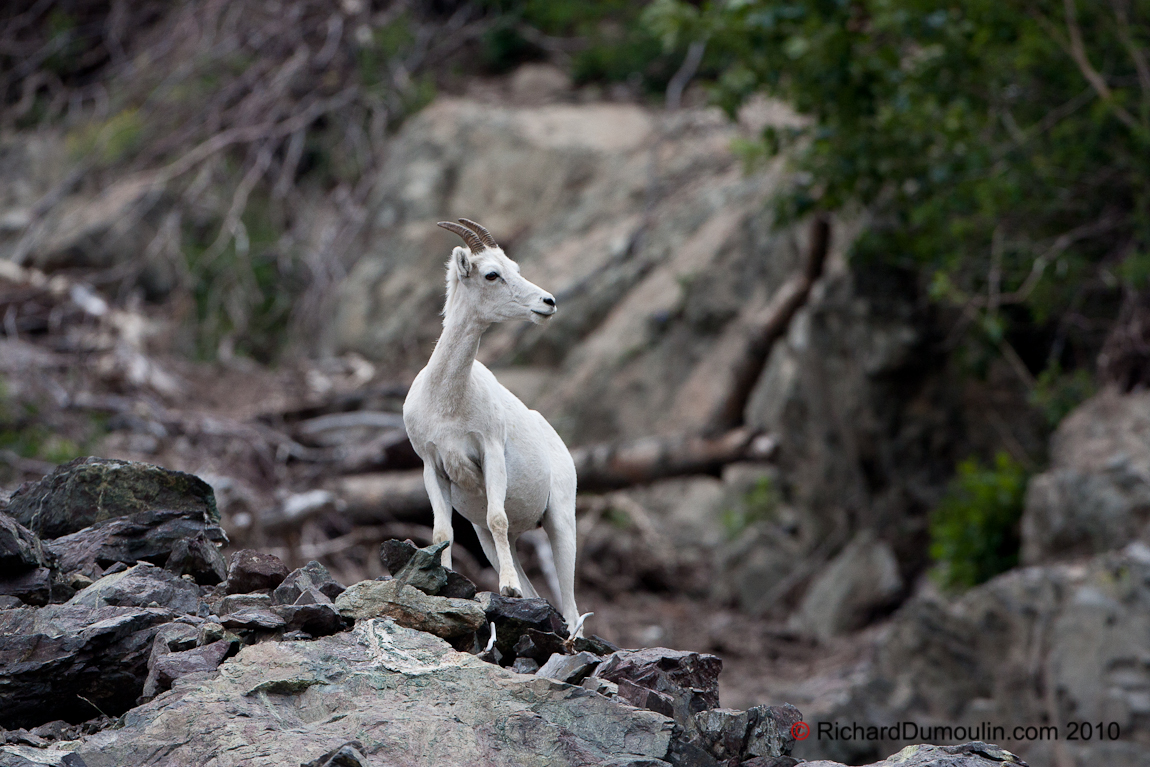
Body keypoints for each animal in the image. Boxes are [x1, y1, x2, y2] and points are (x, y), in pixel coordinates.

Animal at [404, 220, 584, 634]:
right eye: (491, 274)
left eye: (514, 267)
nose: (548, 302)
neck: (448, 404)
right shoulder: (432, 467)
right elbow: (442, 532)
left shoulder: (490, 453)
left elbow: (497, 517)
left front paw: (508, 590)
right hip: (489, 539)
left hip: (561, 523)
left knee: (571, 609)